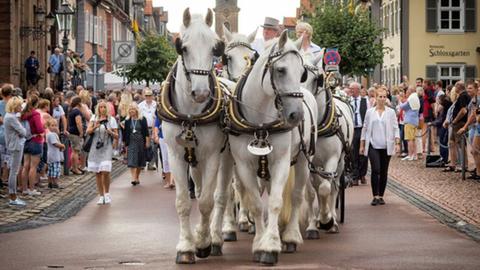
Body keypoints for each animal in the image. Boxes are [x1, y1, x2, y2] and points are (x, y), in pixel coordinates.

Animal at [157, 8, 226, 264]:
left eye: (214, 48)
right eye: (183, 48)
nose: (202, 93)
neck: (190, 115)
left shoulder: (213, 156)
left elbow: (206, 202)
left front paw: (203, 243)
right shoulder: (176, 155)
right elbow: (184, 202)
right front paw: (186, 246)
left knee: (221, 196)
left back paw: (216, 236)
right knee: (197, 186)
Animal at [227, 30, 316, 264]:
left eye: (302, 73)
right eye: (281, 70)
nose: (296, 115)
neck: (260, 122)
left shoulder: (281, 162)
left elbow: (276, 201)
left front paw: (272, 245)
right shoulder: (244, 165)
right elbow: (257, 203)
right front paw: (260, 243)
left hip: (302, 161)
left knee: (297, 196)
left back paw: (291, 236)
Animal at [302, 51, 354, 237]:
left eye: (317, 79)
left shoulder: (332, 159)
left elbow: (326, 188)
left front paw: (327, 220)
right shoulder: (307, 162)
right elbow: (311, 192)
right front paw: (312, 225)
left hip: (341, 162)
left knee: (334, 186)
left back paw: (332, 220)